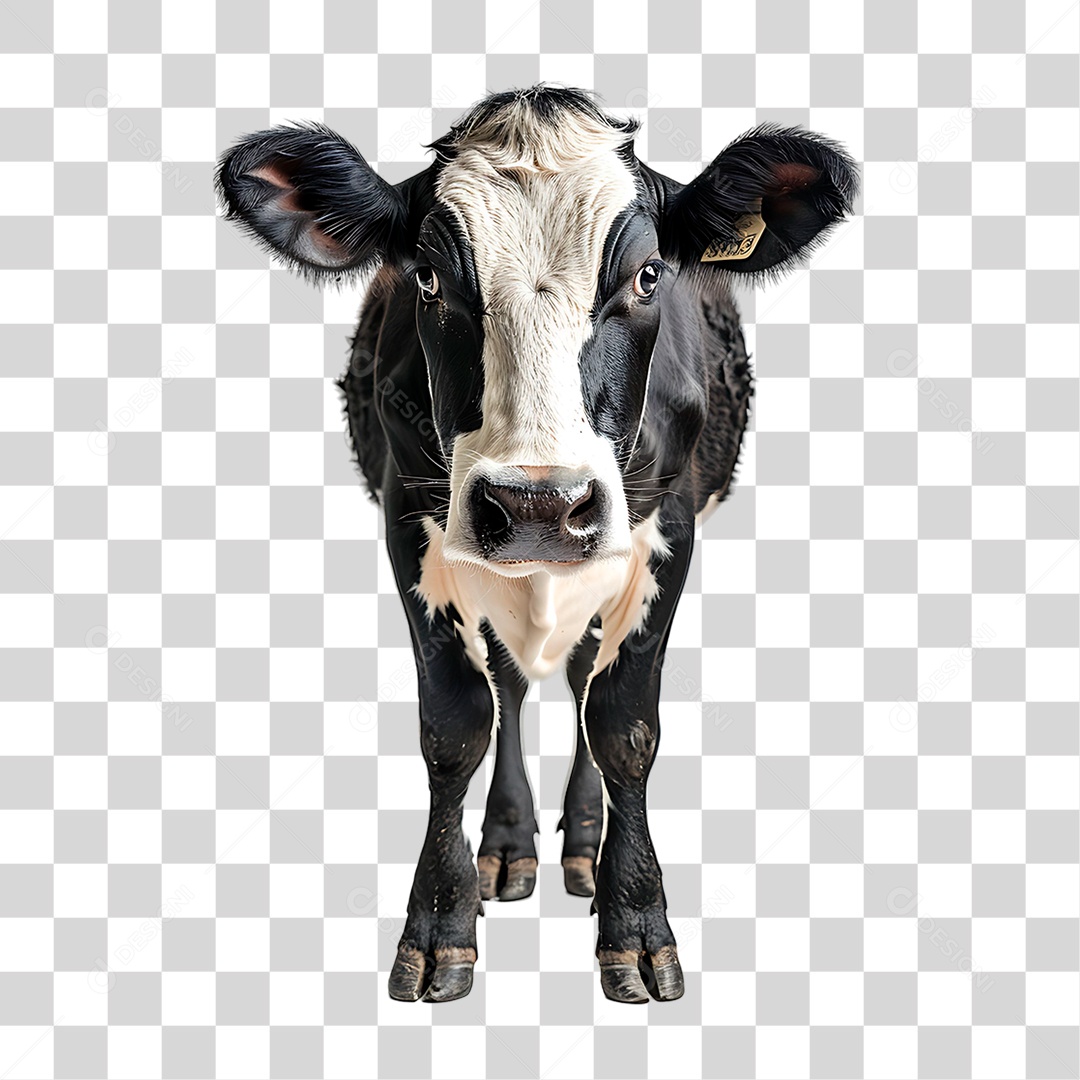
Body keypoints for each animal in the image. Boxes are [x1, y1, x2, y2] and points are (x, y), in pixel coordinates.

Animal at [218, 85, 857, 1004]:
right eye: (429, 276)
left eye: (647, 275)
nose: (538, 505)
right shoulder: (409, 523)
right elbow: (456, 725)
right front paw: (439, 930)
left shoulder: (669, 527)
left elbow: (624, 726)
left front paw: (637, 930)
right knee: (514, 687)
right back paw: (510, 847)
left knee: (584, 682)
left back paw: (584, 850)